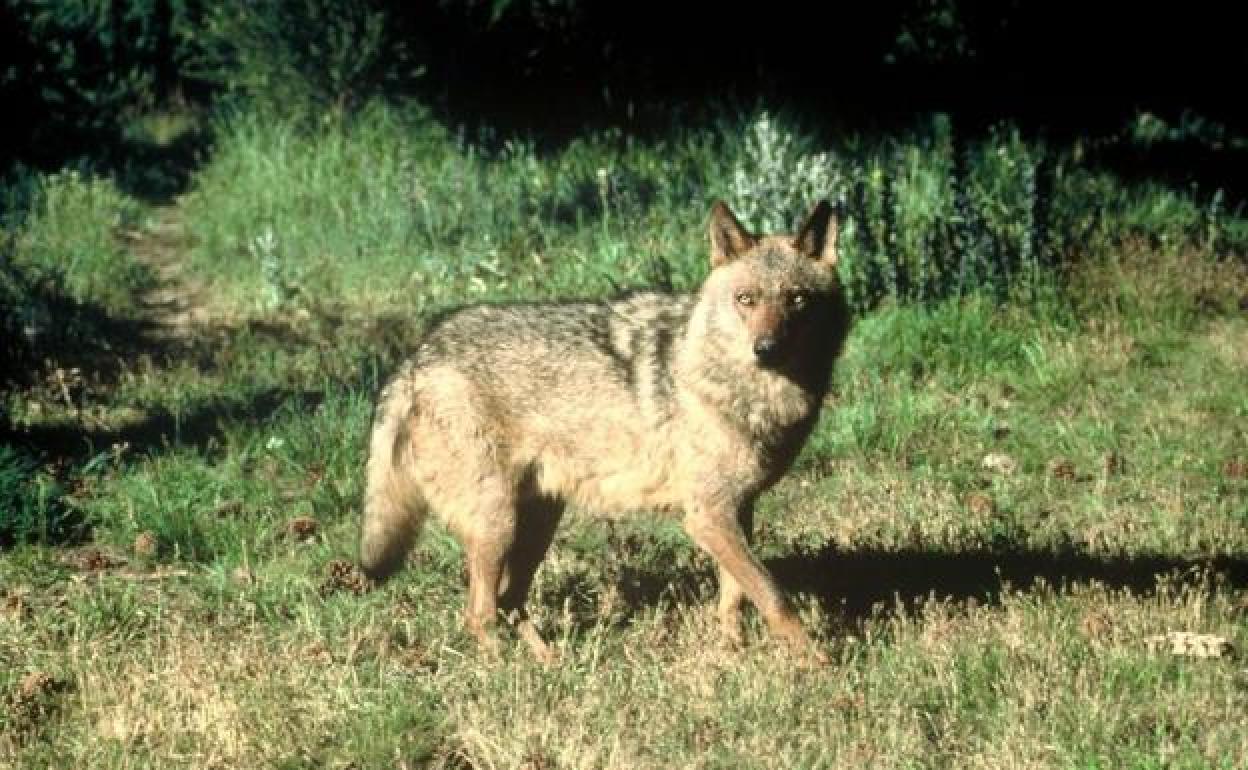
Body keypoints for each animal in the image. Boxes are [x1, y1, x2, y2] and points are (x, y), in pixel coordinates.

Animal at [360, 200, 851, 662]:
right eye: (746, 299)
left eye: (797, 300)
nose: (765, 349)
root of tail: (416, 357)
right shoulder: (707, 516)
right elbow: (774, 597)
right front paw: (818, 663)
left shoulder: (737, 509)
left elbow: (735, 597)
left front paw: (732, 653)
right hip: (497, 525)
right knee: (479, 613)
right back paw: (506, 672)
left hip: (537, 524)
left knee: (509, 601)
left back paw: (549, 665)